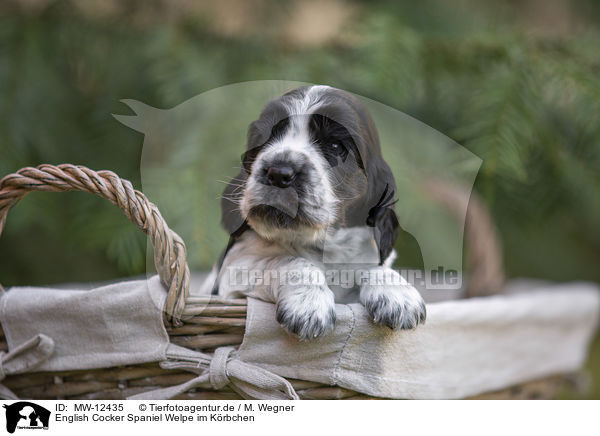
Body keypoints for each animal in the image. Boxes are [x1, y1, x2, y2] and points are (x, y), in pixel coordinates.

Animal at [209, 83, 424, 338]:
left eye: (335, 146)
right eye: (264, 138)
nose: (278, 173)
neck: (324, 245)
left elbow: (374, 267)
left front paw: (399, 295)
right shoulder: (231, 276)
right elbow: (286, 261)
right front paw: (308, 305)